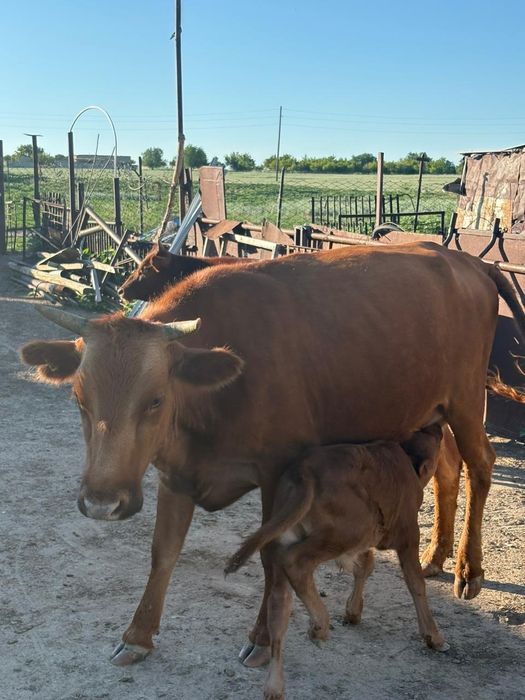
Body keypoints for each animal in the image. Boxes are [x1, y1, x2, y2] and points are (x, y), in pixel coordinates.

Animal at [225, 424, 446, 700]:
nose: (439, 427)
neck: (404, 458)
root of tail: (304, 473)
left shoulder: (366, 546)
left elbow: (364, 567)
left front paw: (353, 612)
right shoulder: (408, 536)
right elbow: (415, 583)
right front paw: (434, 636)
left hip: (288, 543)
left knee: (278, 606)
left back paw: (274, 686)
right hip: (346, 533)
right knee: (296, 564)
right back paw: (319, 627)